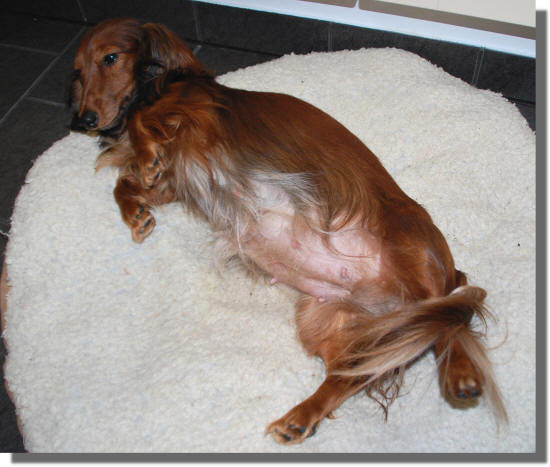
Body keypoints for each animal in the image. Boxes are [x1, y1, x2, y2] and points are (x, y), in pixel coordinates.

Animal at [70, 18, 506, 444]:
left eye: (110, 57)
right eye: (77, 72)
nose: (82, 121)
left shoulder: (196, 112)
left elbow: (142, 125)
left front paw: (143, 157)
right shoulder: (177, 179)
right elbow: (124, 184)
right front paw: (136, 214)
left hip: (409, 250)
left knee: (450, 317)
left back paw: (461, 375)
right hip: (330, 320)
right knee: (353, 373)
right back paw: (301, 418)